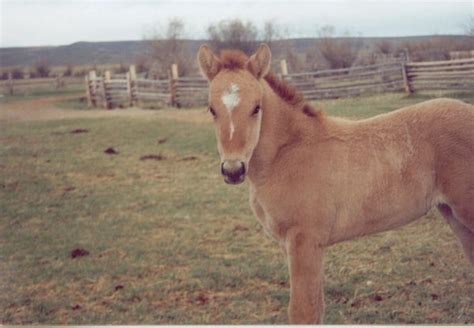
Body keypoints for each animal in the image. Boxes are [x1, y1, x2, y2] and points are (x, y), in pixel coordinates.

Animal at [196, 43, 474, 322]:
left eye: (256, 107)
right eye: (211, 109)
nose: (233, 170)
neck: (287, 153)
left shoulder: (305, 241)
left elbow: (303, 311)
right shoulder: (295, 246)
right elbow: (316, 307)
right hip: (452, 214)